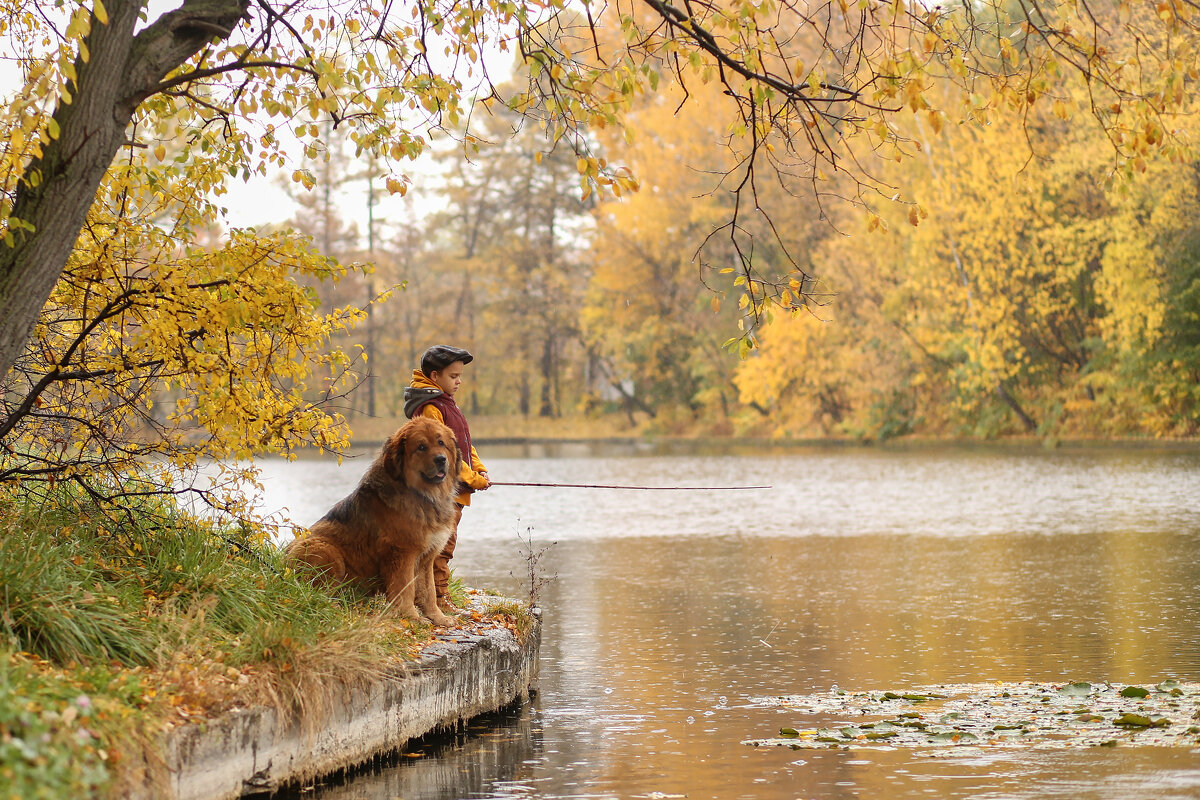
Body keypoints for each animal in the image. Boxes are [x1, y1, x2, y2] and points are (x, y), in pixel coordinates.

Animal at [285, 417, 458, 628]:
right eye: (421, 447)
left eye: (441, 443)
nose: (441, 459)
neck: (424, 496)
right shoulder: (402, 553)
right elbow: (405, 589)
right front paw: (412, 617)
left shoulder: (427, 557)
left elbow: (429, 591)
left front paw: (438, 617)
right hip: (325, 551)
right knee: (315, 593)